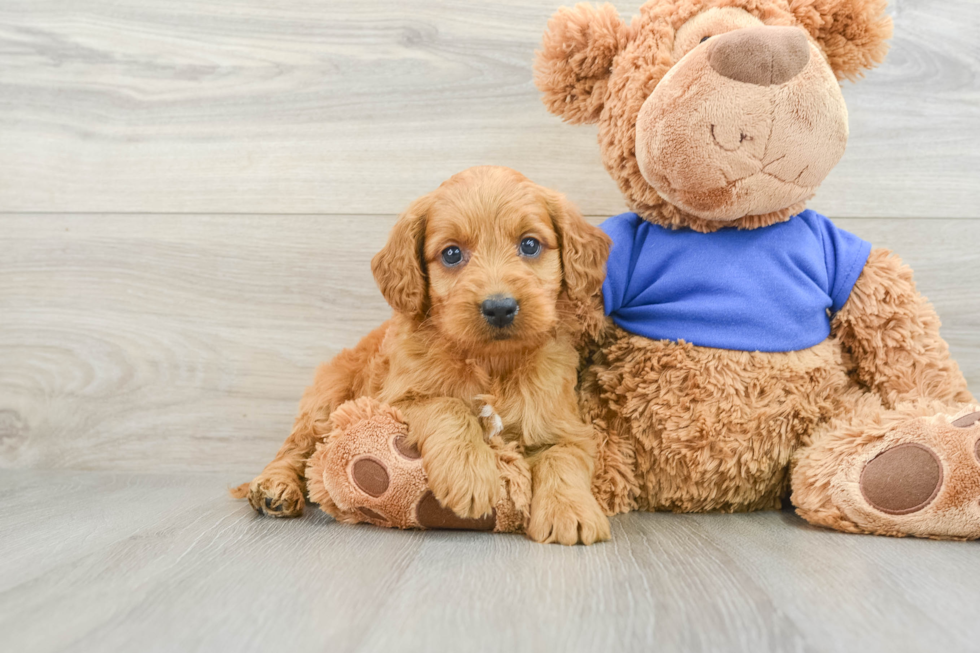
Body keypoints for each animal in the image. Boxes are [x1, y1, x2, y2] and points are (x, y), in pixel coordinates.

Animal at [234, 166, 608, 544]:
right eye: (452, 254)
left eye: (530, 245)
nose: (500, 308)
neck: (490, 362)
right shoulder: (393, 401)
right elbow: (448, 405)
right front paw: (470, 475)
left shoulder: (565, 425)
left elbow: (563, 458)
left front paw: (570, 512)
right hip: (327, 397)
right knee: (296, 447)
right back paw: (275, 486)